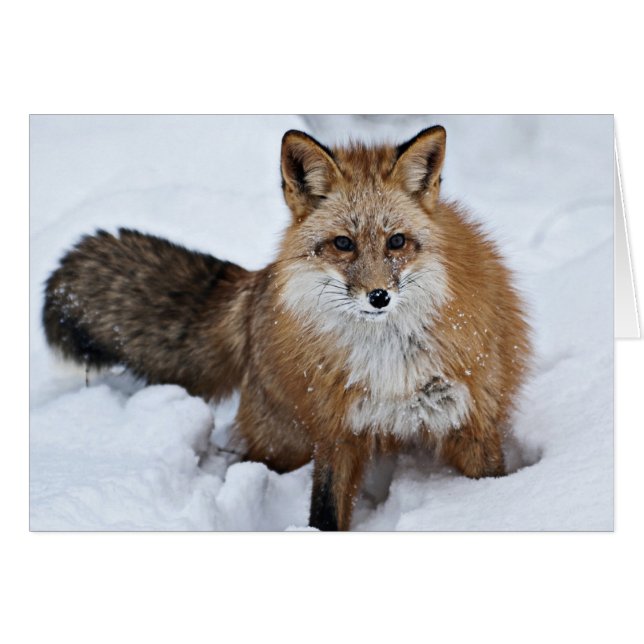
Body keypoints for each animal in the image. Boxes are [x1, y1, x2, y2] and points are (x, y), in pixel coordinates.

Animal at [43, 125, 532, 531]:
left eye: (397, 241)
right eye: (343, 244)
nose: (379, 297)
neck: (391, 362)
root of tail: (260, 279)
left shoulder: (473, 421)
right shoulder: (338, 430)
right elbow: (325, 512)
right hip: (285, 443)